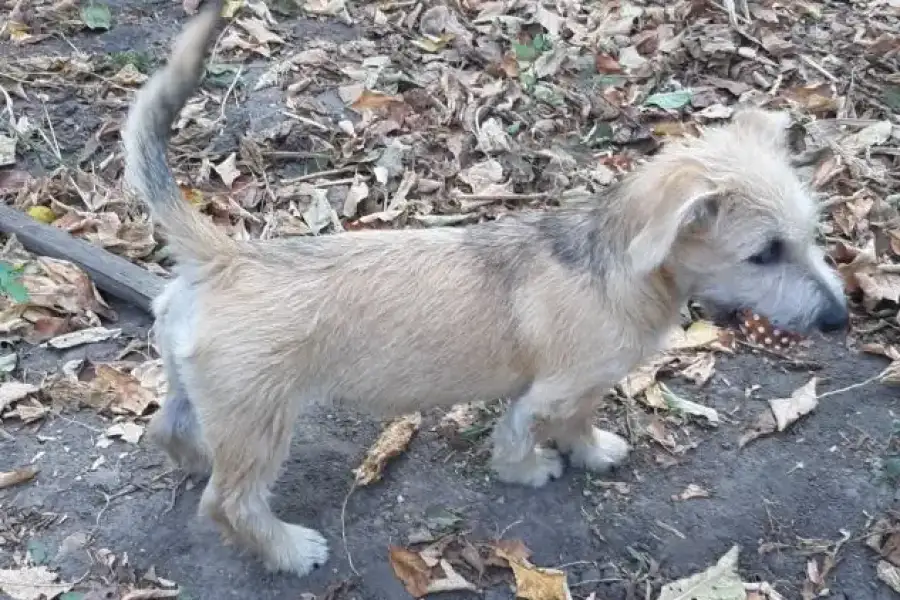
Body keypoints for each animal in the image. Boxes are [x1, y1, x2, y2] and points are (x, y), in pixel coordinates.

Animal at [121, 3, 852, 576]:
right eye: (765, 254)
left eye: (812, 235)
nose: (841, 319)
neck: (609, 262)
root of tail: (223, 257)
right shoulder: (547, 390)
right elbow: (523, 434)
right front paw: (531, 471)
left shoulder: (585, 386)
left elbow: (581, 421)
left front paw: (590, 451)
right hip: (263, 424)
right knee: (231, 503)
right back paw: (287, 550)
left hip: (216, 402)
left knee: (169, 429)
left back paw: (194, 460)